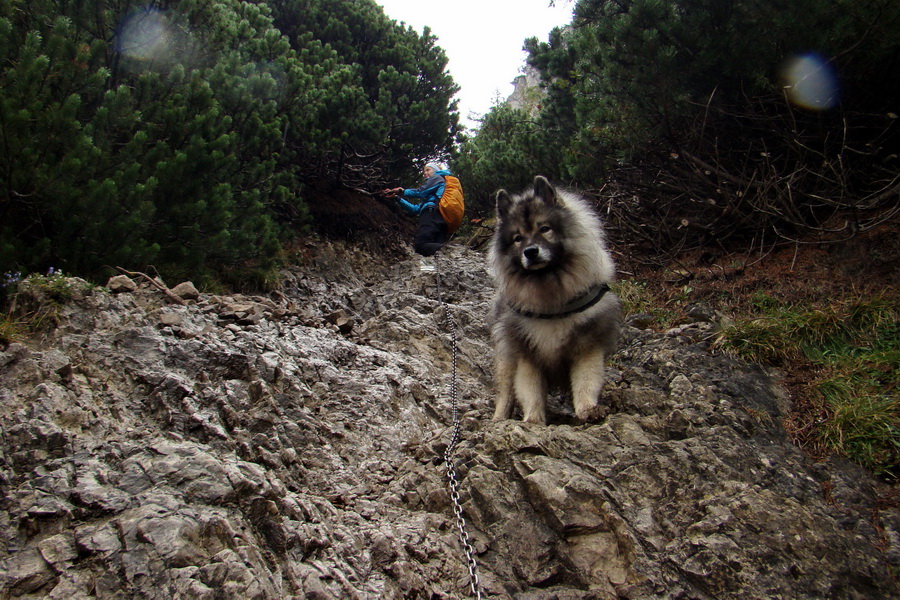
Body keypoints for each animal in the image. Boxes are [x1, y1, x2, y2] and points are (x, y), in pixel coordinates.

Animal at [488, 176, 624, 424]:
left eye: (544, 229)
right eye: (518, 238)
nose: (530, 252)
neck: (551, 299)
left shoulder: (587, 347)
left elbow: (586, 382)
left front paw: (588, 410)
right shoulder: (526, 353)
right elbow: (530, 390)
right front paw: (532, 419)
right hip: (506, 359)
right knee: (506, 393)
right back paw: (499, 419)